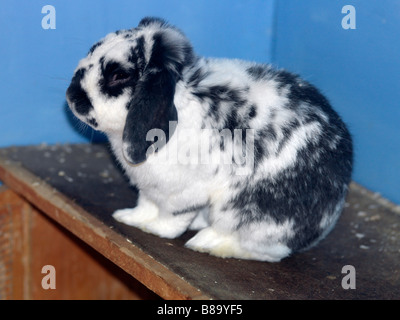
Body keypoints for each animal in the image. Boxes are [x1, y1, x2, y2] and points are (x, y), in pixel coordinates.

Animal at [66, 17, 354, 262]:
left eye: (119, 75)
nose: (71, 96)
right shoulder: (149, 191)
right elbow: (145, 206)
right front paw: (129, 218)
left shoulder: (183, 193)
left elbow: (171, 219)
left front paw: (156, 230)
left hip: (244, 215)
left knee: (266, 251)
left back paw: (206, 242)